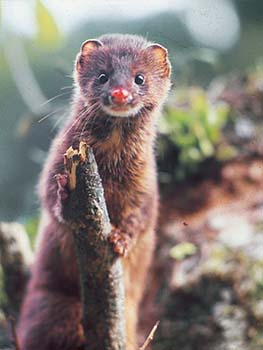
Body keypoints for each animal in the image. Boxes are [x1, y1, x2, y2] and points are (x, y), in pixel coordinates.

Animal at [17, 33, 172, 350]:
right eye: (103, 75)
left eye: (139, 78)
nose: (120, 94)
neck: (110, 167)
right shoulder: (54, 162)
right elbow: (49, 199)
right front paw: (64, 195)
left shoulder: (146, 186)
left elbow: (141, 217)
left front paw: (121, 239)